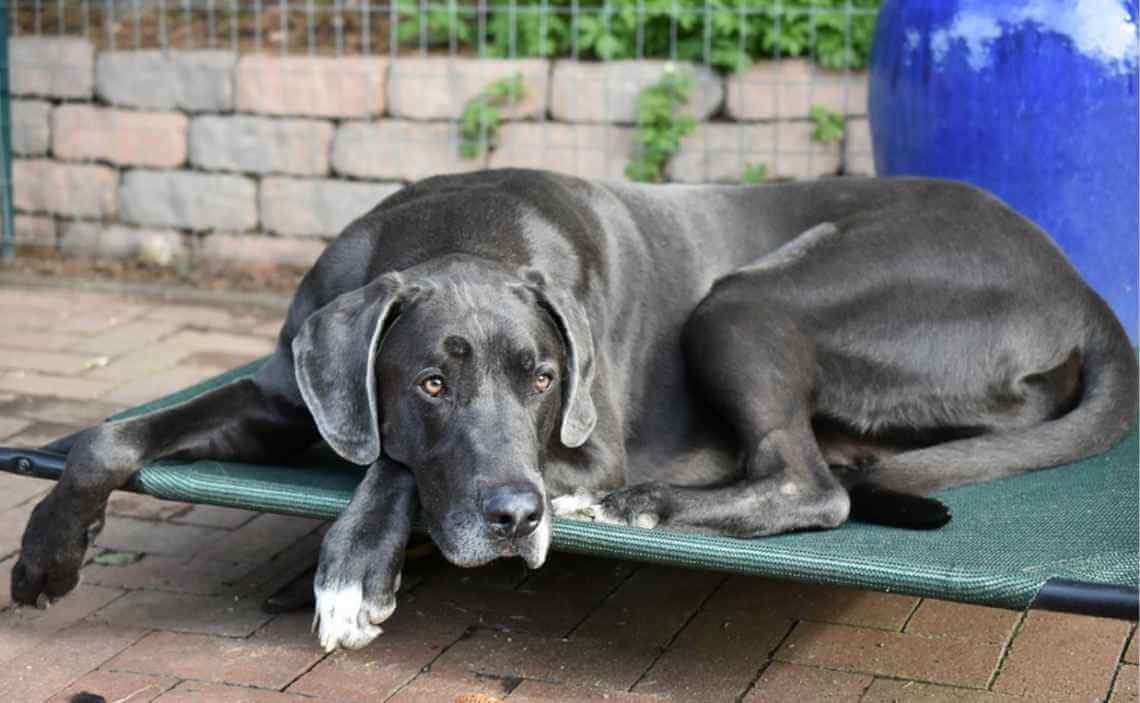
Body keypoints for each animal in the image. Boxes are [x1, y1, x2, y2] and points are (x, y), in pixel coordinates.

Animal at [11, 167, 1140, 651]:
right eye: (431, 382)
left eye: (544, 377)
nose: (518, 517)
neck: (456, 231)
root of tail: (1080, 283)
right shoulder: (288, 390)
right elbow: (113, 433)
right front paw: (47, 554)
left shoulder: (578, 447)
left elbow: (394, 465)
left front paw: (352, 570)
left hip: (752, 299)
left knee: (810, 486)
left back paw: (643, 509)